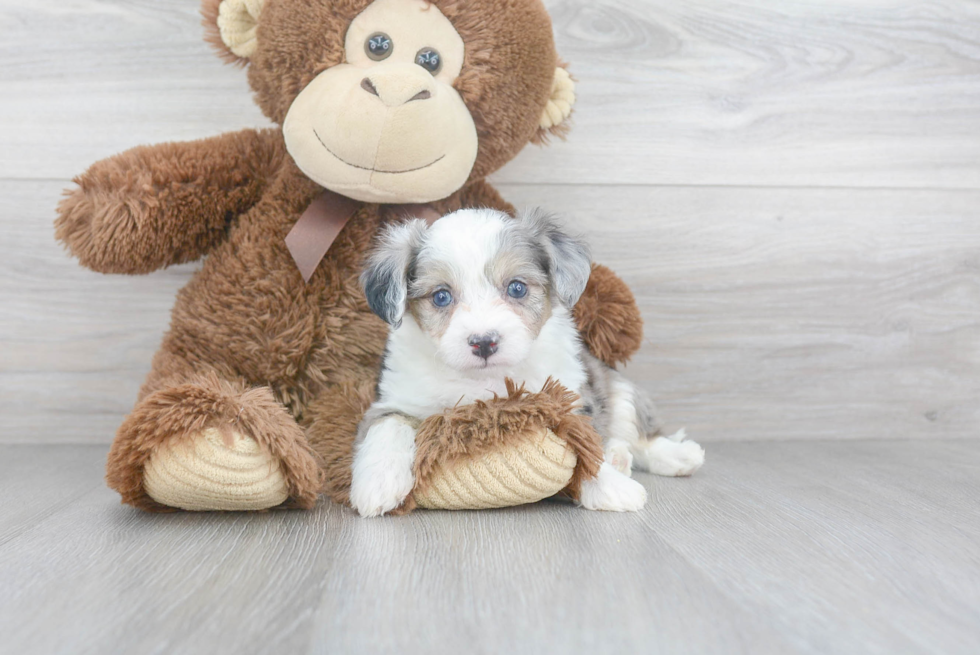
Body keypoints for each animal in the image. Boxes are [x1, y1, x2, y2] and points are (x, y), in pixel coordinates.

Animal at [352, 210, 704, 516]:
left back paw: (675, 455)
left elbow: (586, 444)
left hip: (616, 385)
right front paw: (377, 483)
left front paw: (609, 486)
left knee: (642, 434)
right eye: (441, 296)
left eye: (517, 288)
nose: (484, 342)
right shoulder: (395, 398)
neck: (485, 381)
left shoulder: (568, 398)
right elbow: (388, 427)